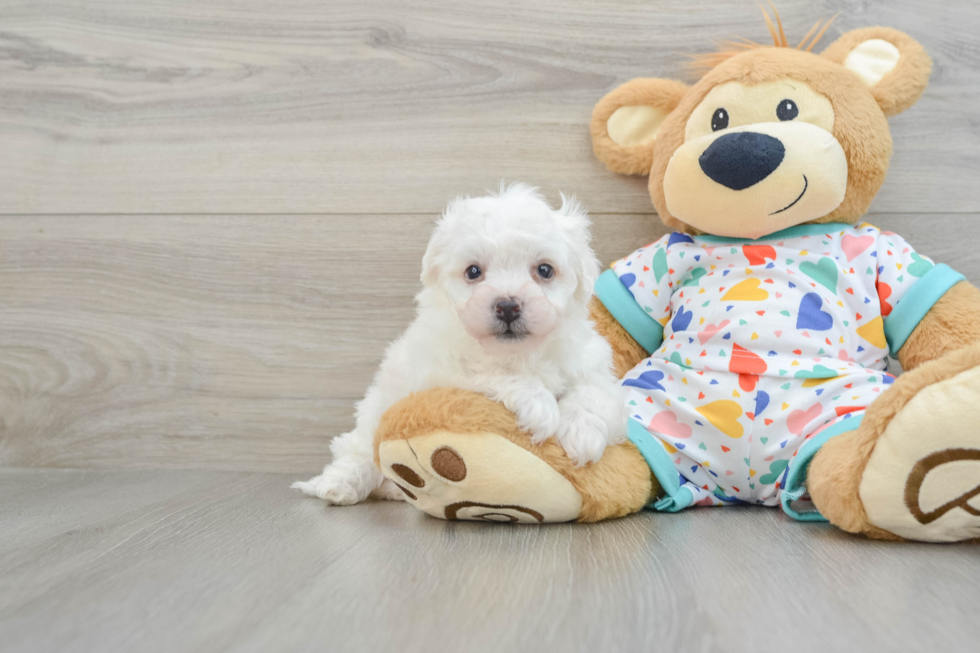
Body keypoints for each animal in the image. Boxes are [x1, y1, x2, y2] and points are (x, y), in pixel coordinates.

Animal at [292, 183, 628, 504]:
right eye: (473, 272)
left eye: (545, 270)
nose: (508, 306)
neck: (519, 354)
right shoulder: (440, 372)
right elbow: (491, 372)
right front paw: (539, 406)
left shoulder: (592, 366)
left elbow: (592, 393)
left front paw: (582, 433)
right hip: (375, 412)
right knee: (358, 451)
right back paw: (340, 485)